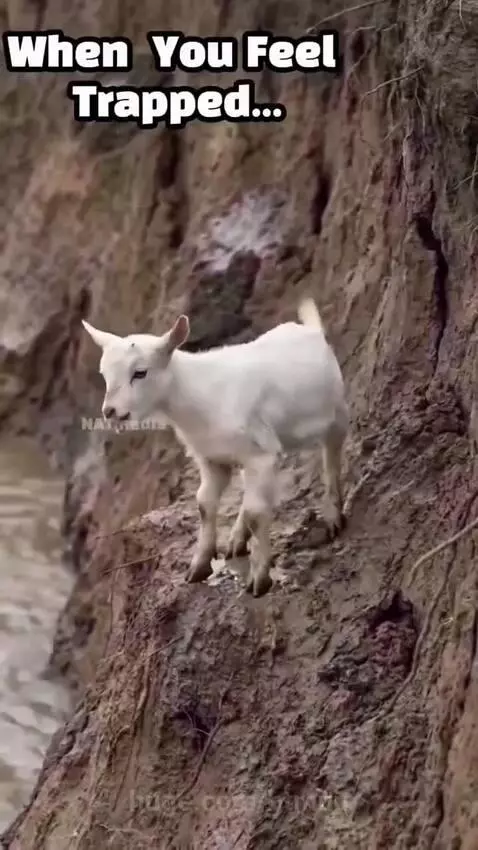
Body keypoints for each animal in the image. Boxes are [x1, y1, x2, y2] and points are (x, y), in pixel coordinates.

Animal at [82, 297, 348, 597]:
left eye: (140, 373)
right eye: (104, 374)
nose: (110, 412)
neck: (199, 396)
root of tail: (310, 330)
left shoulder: (261, 455)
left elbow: (257, 514)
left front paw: (260, 578)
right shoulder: (211, 459)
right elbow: (204, 504)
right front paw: (199, 566)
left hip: (336, 413)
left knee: (331, 456)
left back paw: (332, 515)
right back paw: (236, 539)